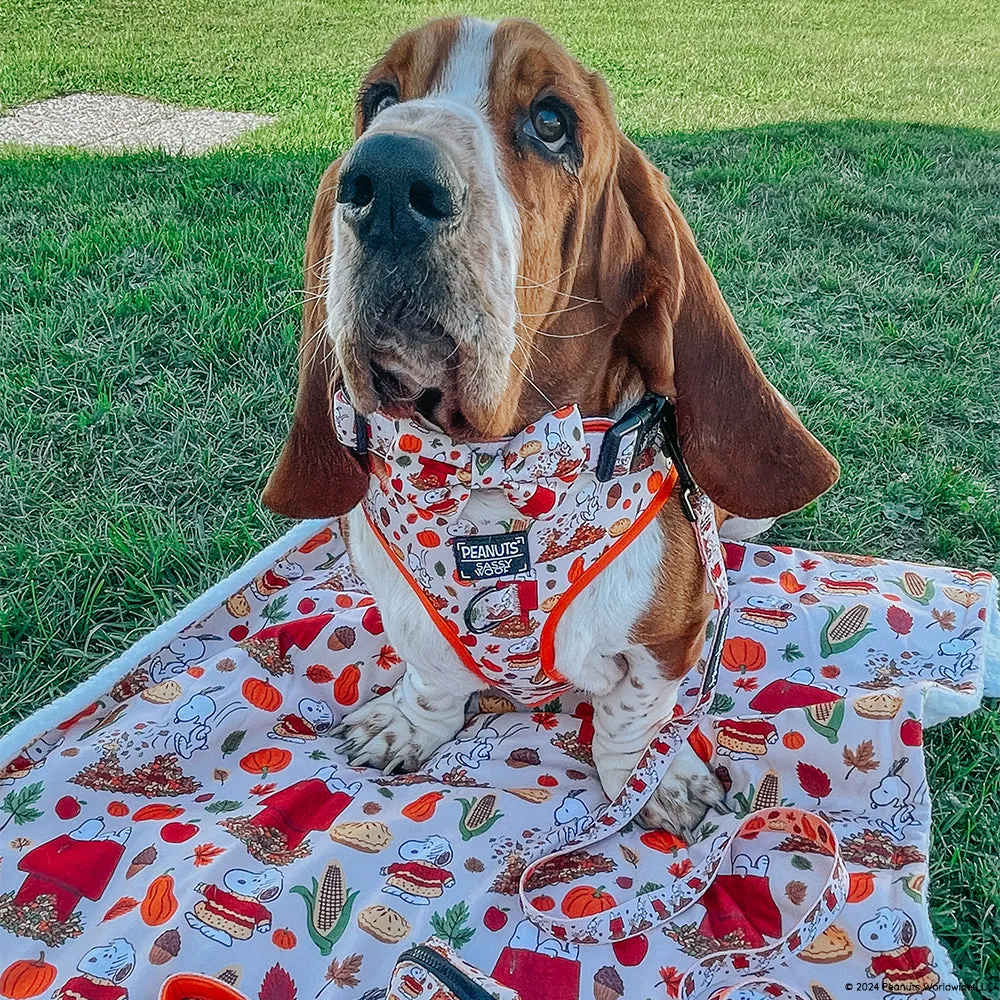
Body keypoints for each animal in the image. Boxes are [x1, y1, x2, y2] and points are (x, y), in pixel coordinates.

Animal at [260, 19, 836, 840]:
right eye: (378, 101)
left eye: (552, 122)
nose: (389, 179)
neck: (492, 472)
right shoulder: (408, 617)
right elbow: (432, 679)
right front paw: (406, 726)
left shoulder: (666, 647)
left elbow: (634, 719)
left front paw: (655, 781)